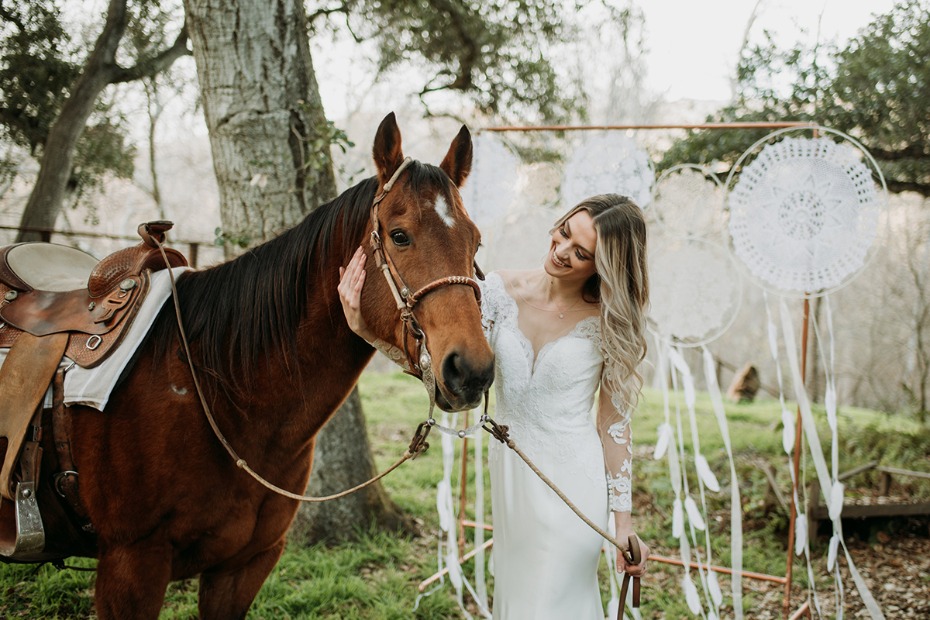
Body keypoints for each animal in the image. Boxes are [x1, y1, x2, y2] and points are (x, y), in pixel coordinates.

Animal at [16, 114, 492, 616]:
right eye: (400, 236)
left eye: (476, 242)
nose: (471, 369)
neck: (216, 388)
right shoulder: (129, 567)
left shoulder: (245, 565)